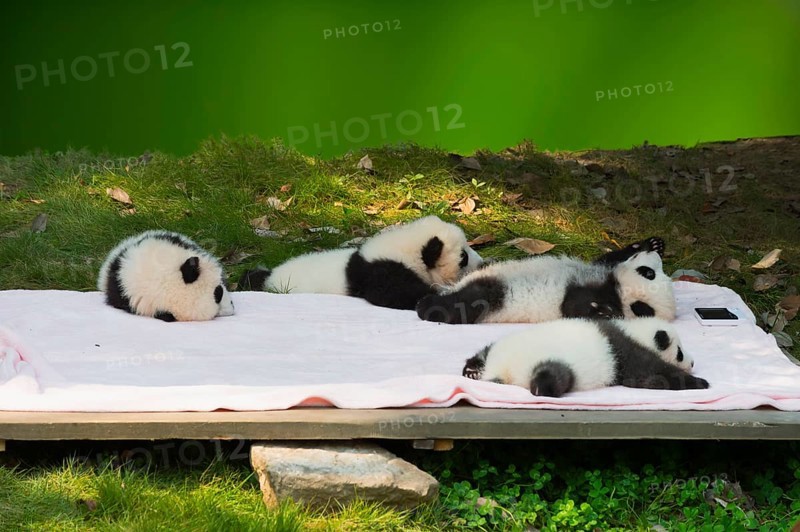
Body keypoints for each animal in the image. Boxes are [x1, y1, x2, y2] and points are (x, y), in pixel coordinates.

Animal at [416, 246, 675, 324]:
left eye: (648, 273)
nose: (654, 254)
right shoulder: (599, 271)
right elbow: (606, 258)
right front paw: (650, 243)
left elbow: (573, 307)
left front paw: (603, 313)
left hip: (495, 298)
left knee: (467, 302)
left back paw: (428, 305)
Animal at [462, 317, 709, 397]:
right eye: (679, 352)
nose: (693, 362)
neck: (632, 329)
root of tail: (499, 370)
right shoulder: (627, 354)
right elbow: (654, 375)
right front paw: (699, 382)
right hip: (550, 361)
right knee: (554, 375)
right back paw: (541, 388)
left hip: (500, 346)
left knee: (484, 351)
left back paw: (471, 371)